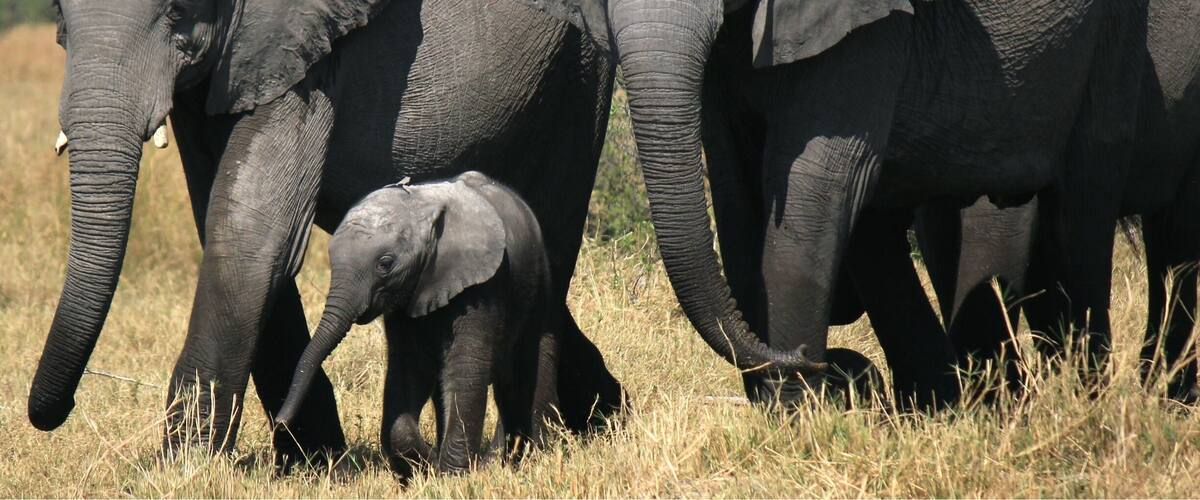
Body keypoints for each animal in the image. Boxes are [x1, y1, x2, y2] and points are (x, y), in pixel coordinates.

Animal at [276, 172, 559, 476]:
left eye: (385, 264)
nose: (281, 423)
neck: (425, 210)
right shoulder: (406, 296)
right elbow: (409, 369)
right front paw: (429, 465)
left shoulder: (485, 285)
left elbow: (465, 369)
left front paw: (452, 475)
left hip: (539, 283)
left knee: (527, 366)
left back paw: (527, 457)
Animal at [512, 0, 1150, 408]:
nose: (826, 364)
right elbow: (735, 190)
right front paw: (788, 408)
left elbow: (815, 185)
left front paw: (796, 422)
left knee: (1073, 202)